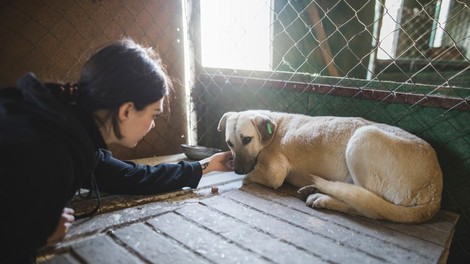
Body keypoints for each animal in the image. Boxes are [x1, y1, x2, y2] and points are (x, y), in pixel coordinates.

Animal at [218, 109, 442, 223]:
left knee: (369, 207)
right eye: (229, 143)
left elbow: (249, 177)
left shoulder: (274, 174)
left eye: (247, 139)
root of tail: (435, 190)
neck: (273, 127)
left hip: (363, 138)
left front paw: (244, 177)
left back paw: (322, 198)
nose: (237, 169)